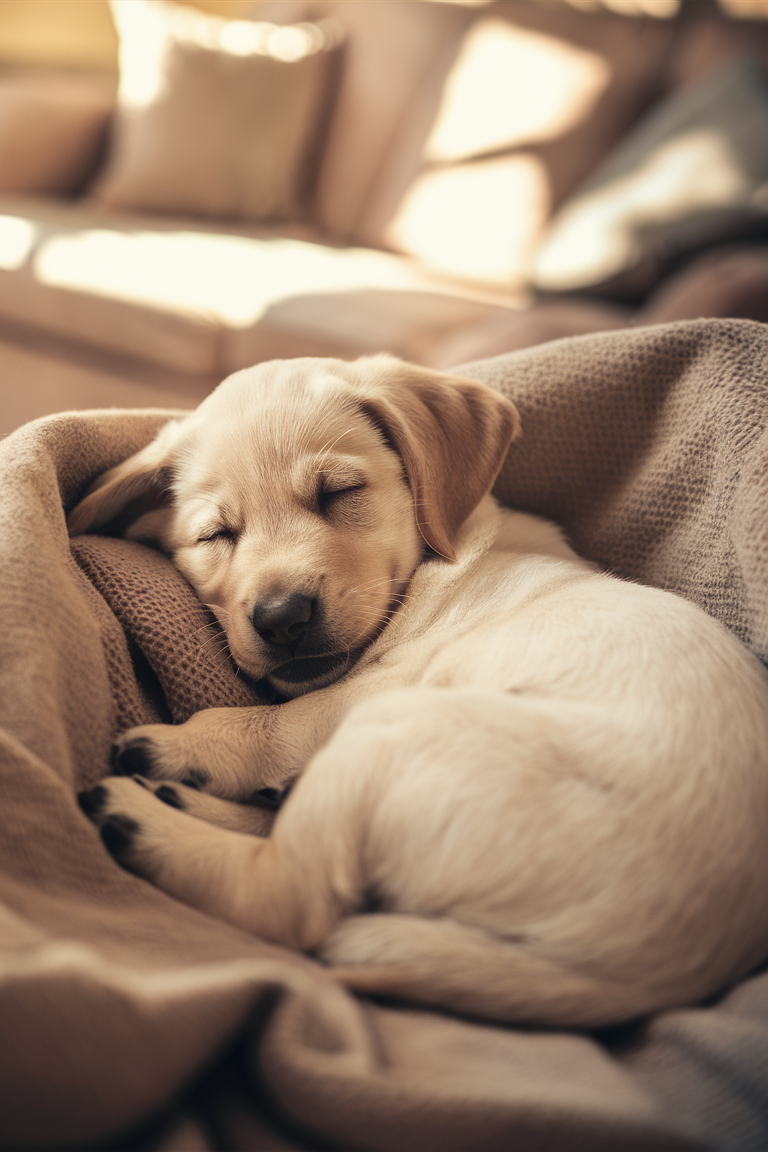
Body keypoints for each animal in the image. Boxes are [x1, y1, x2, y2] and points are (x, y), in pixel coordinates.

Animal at [73, 352, 768, 1027]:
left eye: (340, 492)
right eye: (215, 535)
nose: (282, 618)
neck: (442, 562)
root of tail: (640, 976)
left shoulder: (372, 691)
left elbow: (280, 723)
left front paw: (189, 743)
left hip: (395, 731)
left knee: (290, 896)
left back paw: (141, 820)